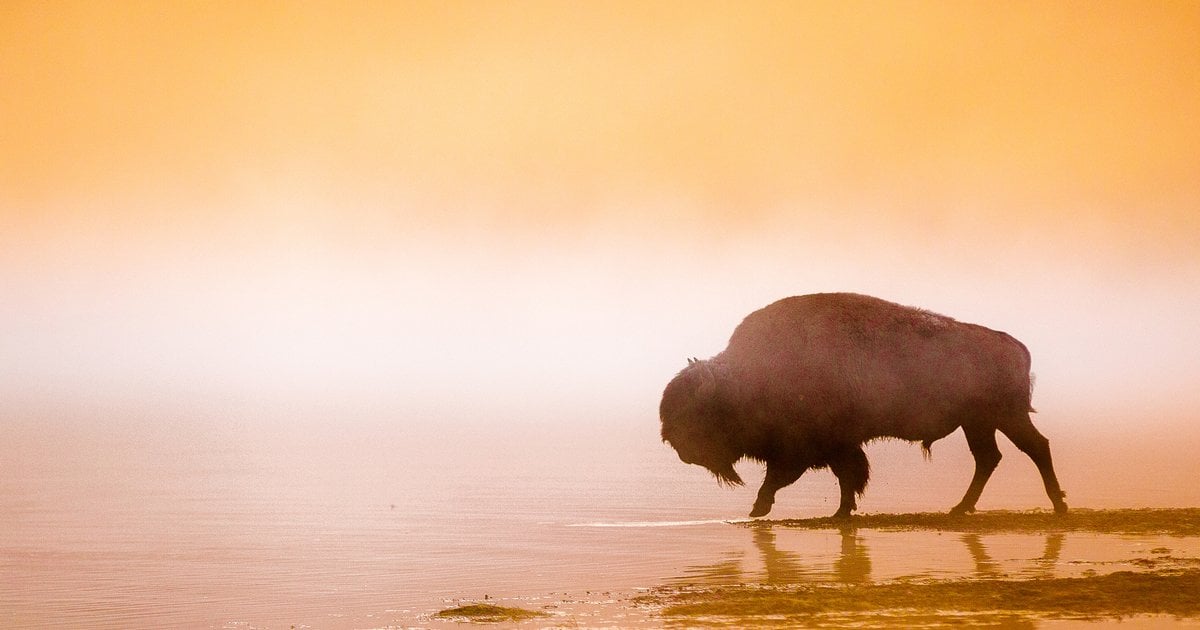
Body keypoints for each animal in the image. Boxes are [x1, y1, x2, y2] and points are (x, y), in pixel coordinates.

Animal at [660, 293, 1068, 518]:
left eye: (697, 415)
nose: (680, 449)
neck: (745, 378)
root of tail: (1013, 344)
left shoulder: (812, 448)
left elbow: (804, 475)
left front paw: (759, 508)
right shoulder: (837, 447)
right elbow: (848, 476)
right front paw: (842, 511)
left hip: (1005, 416)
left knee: (1035, 448)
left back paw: (1058, 506)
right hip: (979, 423)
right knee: (989, 458)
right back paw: (961, 508)